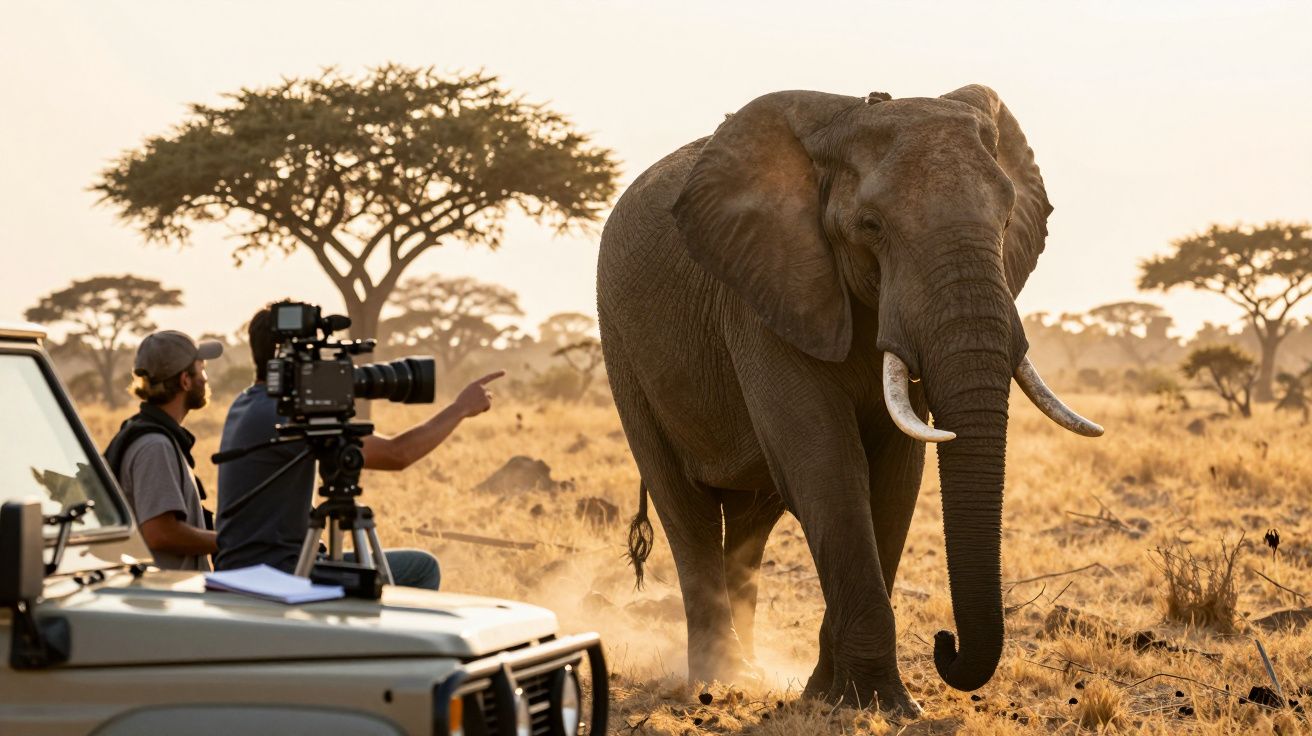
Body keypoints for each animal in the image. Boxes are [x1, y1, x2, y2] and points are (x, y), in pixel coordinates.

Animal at [596, 84, 1103, 713]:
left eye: (1007, 219)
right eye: (871, 226)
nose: (945, 642)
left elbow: (896, 476)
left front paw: (836, 696)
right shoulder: (766, 292)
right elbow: (827, 468)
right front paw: (875, 702)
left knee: (750, 525)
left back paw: (753, 674)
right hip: (623, 351)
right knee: (686, 509)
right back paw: (720, 682)